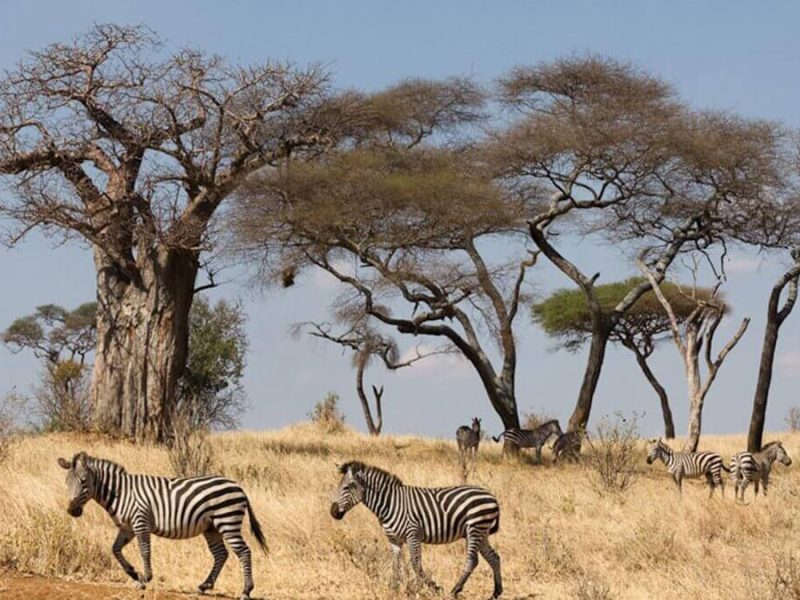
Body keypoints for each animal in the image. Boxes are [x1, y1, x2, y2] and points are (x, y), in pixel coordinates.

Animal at [57, 452, 266, 599]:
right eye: (66, 482)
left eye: (84, 481)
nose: (72, 510)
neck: (120, 493)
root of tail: (238, 486)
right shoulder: (127, 528)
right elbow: (115, 549)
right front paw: (133, 573)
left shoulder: (140, 522)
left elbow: (144, 551)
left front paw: (144, 579)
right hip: (211, 527)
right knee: (221, 554)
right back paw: (203, 586)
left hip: (227, 521)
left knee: (244, 552)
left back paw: (246, 591)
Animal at [330, 461, 502, 599]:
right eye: (338, 487)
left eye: (347, 487)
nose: (333, 512)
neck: (390, 503)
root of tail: (491, 496)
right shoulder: (394, 539)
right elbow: (396, 563)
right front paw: (394, 588)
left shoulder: (413, 534)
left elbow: (416, 563)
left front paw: (429, 588)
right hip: (481, 532)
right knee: (493, 557)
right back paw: (496, 593)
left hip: (475, 527)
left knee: (472, 560)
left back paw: (455, 590)